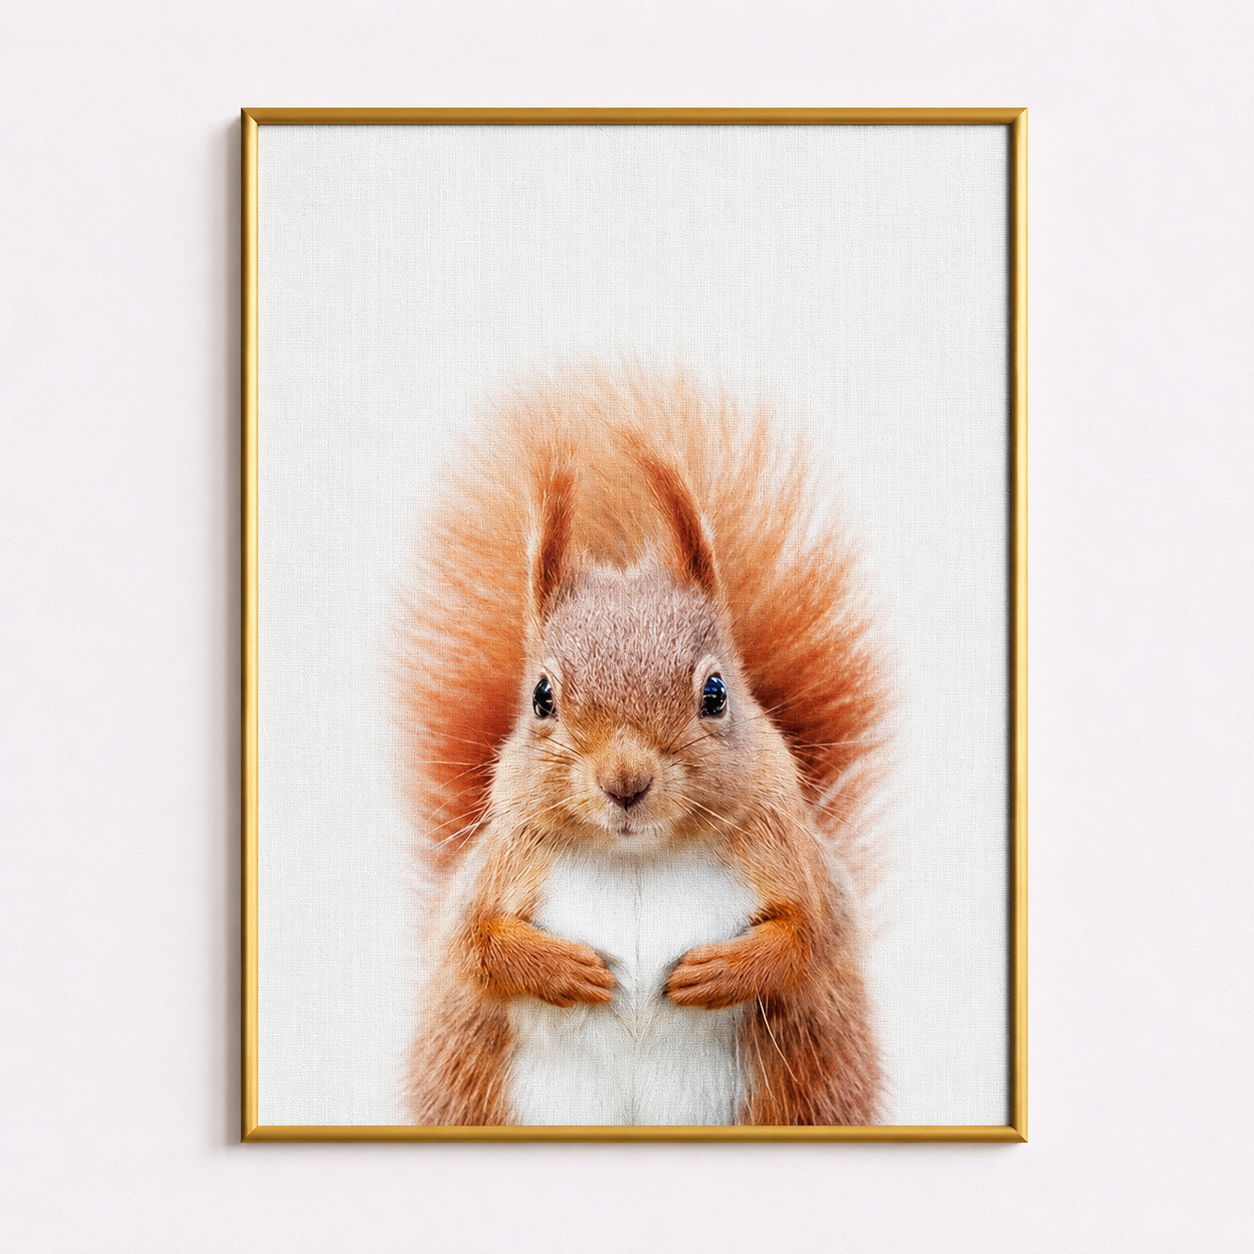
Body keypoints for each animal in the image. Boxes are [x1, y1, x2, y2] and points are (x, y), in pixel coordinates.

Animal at [396, 364, 889, 1126]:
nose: (625, 782)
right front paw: (563, 969)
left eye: (716, 693)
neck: (639, 861)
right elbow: (476, 945)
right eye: (541, 697)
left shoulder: (792, 859)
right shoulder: (497, 872)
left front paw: (723, 970)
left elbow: (808, 937)